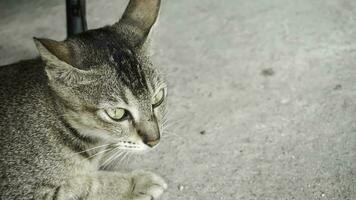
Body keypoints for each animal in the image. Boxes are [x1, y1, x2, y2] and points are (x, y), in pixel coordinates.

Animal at [0, 0, 168, 199]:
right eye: (117, 113)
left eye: (158, 98)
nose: (154, 141)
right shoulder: (24, 192)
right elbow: (88, 185)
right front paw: (137, 182)